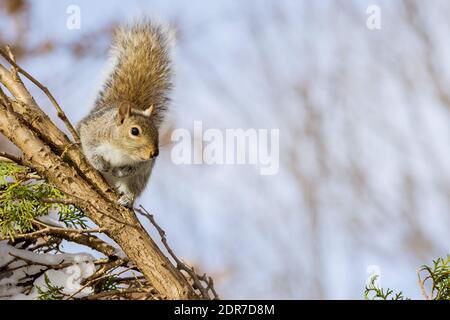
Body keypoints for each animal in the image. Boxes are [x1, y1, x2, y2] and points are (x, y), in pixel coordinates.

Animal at [76, 21, 171, 209]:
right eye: (134, 131)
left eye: (157, 131)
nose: (154, 153)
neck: (121, 149)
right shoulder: (92, 130)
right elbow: (88, 145)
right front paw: (100, 164)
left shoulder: (143, 165)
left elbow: (137, 167)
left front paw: (120, 170)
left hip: (138, 181)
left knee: (132, 188)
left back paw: (127, 199)